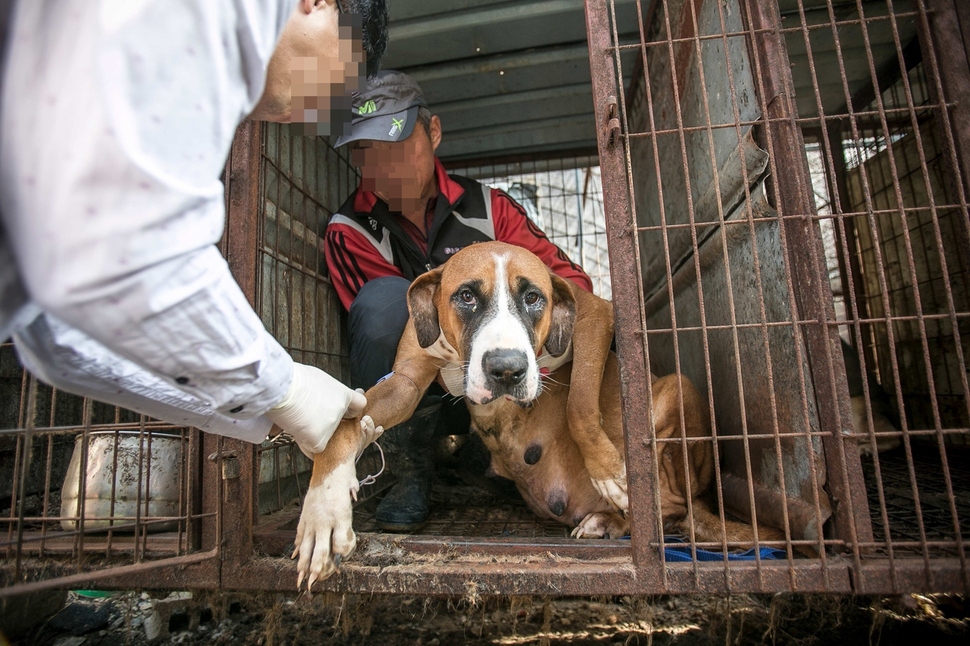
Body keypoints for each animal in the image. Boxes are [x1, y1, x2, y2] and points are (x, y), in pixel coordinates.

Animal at [286, 240, 772, 588]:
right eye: (466, 296)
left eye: (534, 298)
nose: (507, 369)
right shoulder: (404, 381)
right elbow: (348, 425)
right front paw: (324, 510)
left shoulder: (594, 314)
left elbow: (579, 402)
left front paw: (607, 470)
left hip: (678, 390)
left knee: (672, 509)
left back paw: (616, 517)